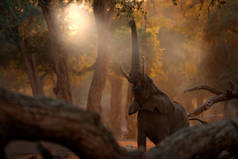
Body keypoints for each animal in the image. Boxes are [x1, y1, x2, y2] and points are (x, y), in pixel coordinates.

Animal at [122, 20, 189, 151]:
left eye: (146, 82)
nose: (131, 21)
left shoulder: (163, 119)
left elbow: (163, 138)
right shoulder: (140, 118)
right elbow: (140, 140)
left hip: (183, 123)